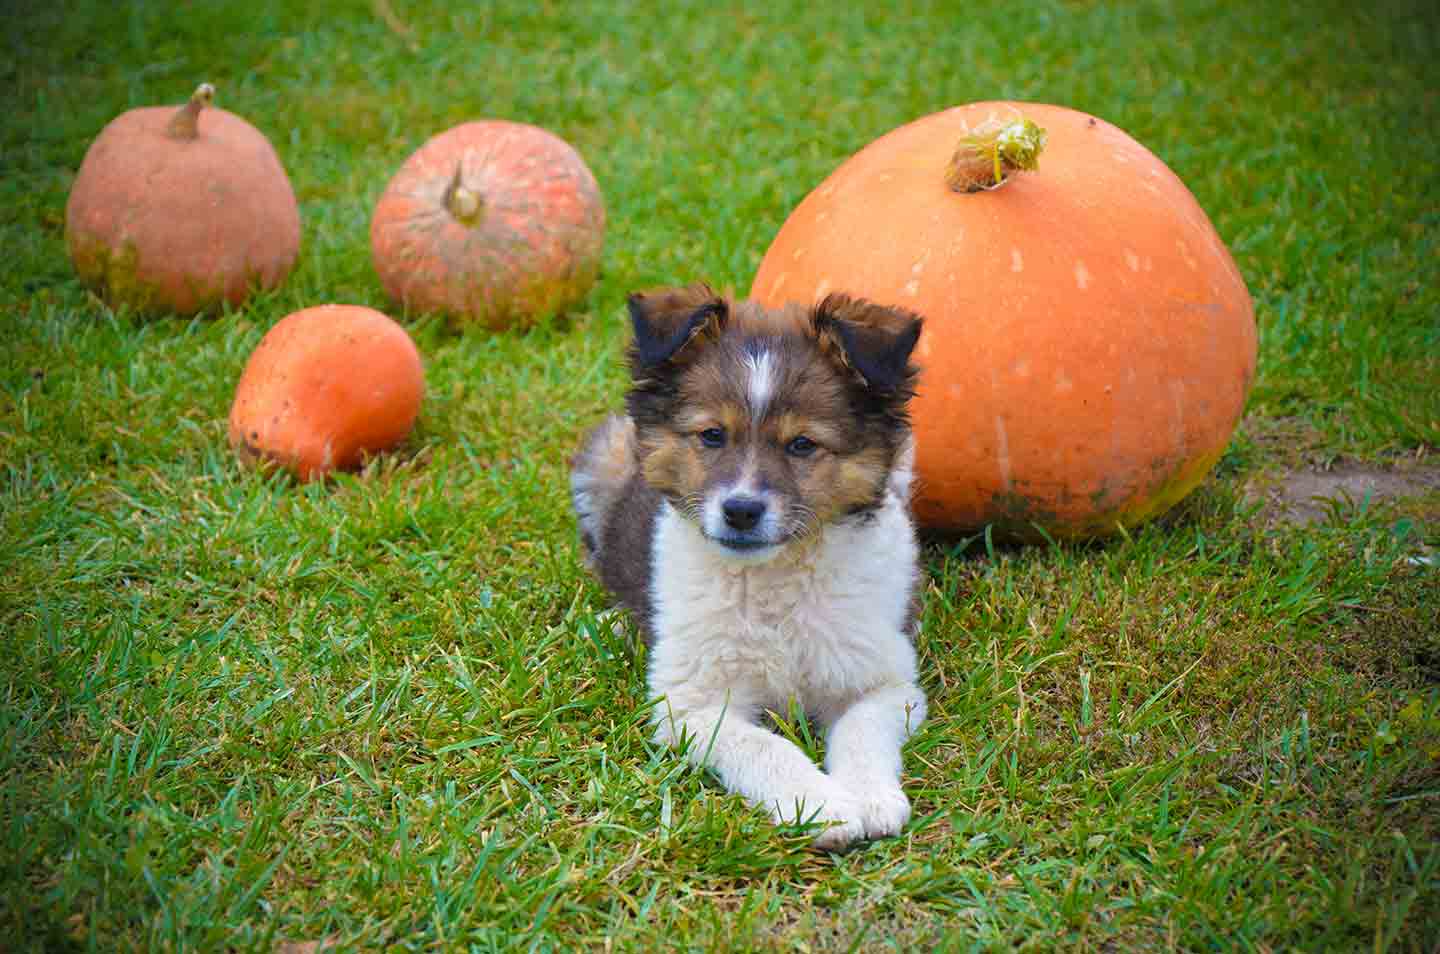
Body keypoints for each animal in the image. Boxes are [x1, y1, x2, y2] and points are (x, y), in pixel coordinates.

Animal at [567, 283, 927, 853]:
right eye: (713, 435)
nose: (740, 511)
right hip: (605, 453)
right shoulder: (691, 703)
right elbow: (765, 747)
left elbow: (862, 731)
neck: (774, 577)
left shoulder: (885, 681)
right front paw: (821, 805)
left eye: (802, 444)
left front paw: (870, 797)